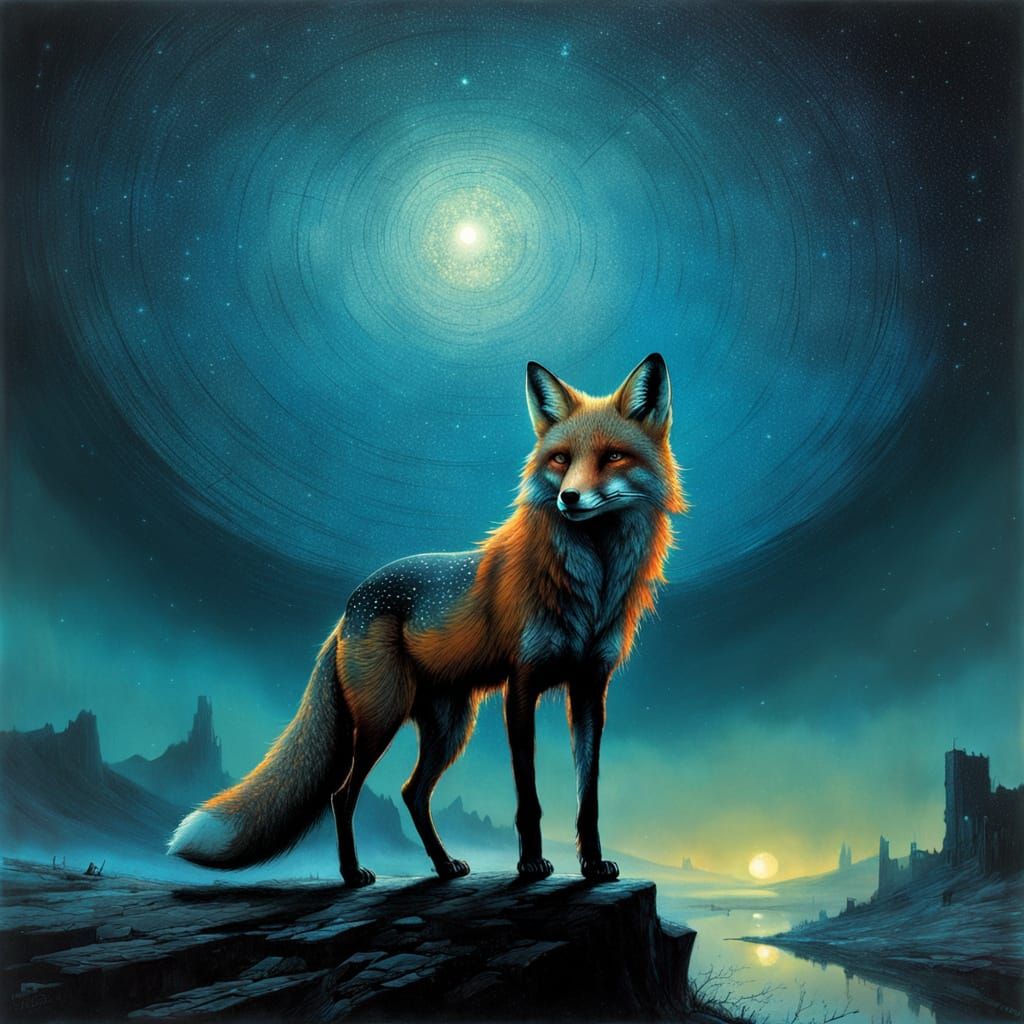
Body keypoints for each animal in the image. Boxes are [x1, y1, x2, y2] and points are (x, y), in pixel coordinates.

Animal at [168, 353, 686, 884]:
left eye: (613, 457)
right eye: (561, 459)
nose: (569, 498)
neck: (592, 584)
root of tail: (347, 607)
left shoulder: (589, 687)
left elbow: (589, 797)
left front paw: (593, 864)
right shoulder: (521, 685)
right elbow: (529, 798)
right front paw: (529, 864)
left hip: (450, 727)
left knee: (411, 793)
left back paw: (442, 866)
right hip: (383, 716)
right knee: (343, 794)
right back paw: (353, 873)